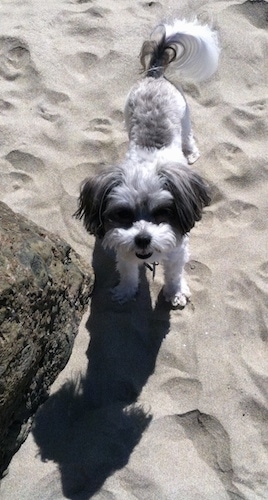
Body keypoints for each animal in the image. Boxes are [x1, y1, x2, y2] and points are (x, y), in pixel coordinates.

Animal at [75, 19, 220, 306]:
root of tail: (154, 76)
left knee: (188, 134)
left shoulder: (177, 250)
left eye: (162, 211)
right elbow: (128, 271)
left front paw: (175, 292)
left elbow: (174, 273)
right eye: (123, 214)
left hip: (185, 115)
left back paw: (191, 152)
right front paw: (125, 291)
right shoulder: (124, 247)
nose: (143, 238)